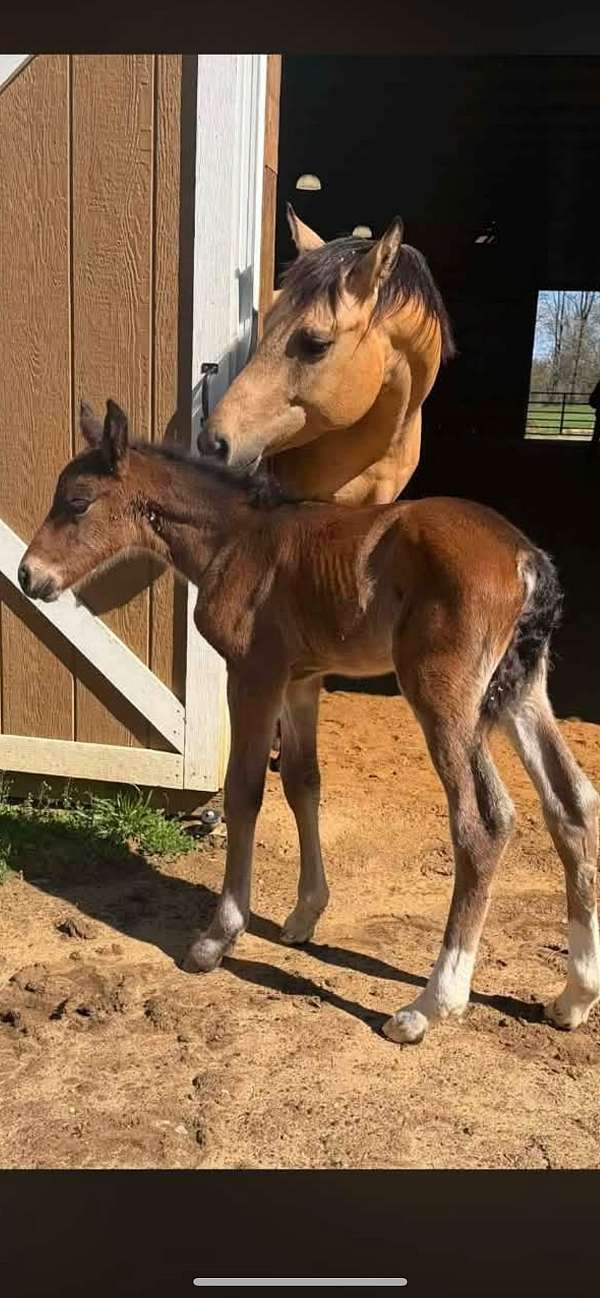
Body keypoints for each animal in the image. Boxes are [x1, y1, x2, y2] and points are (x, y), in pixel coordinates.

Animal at [18, 398, 600, 1044]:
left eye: (76, 503)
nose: (28, 576)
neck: (235, 541)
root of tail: (526, 559)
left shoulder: (253, 672)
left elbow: (245, 790)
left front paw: (217, 938)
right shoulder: (302, 679)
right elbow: (303, 783)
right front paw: (303, 916)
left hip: (442, 694)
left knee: (483, 822)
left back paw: (430, 1005)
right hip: (523, 689)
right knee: (572, 802)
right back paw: (574, 996)